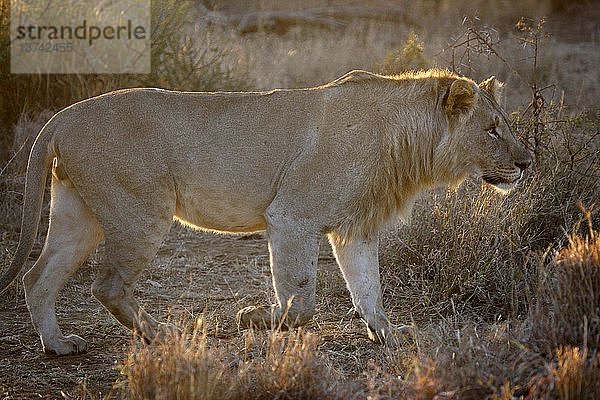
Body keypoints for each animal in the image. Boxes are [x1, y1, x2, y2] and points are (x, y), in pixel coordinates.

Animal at [2, 69, 532, 354]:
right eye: (491, 129)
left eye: (504, 124)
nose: (527, 162)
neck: (406, 140)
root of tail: (63, 115)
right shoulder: (291, 216)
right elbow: (301, 300)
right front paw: (256, 317)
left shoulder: (355, 230)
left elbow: (368, 289)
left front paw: (388, 335)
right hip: (142, 212)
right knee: (107, 285)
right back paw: (164, 334)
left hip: (78, 215)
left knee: (38, 277)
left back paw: (59, 346)